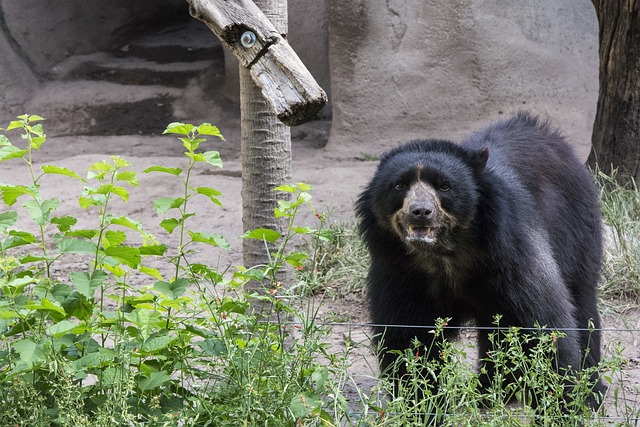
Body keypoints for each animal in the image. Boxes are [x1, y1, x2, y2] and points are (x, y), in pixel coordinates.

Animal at [356, 113, 604, 412]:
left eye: (444, 186)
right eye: (399, 185)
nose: (420, 212)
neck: (444, 255)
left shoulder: (512, 251)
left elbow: (543, 323)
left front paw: (561, 405)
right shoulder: (399, 270)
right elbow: (408, 337)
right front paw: (421, 406)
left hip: (577, 229)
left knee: (581, 301)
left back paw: (591, 392)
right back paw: (490, 390)